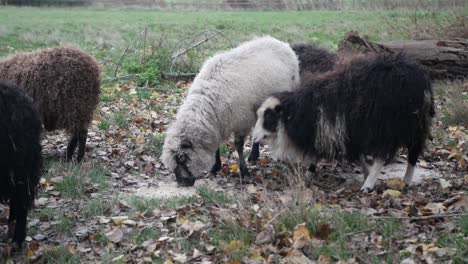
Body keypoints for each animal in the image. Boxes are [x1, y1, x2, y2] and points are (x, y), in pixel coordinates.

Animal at [161, 36, 300, 187]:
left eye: (182, 158)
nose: (182, 183)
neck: (208, 104)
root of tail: (278, 41)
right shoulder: (218, 123)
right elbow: (216, 146)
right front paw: (215, 168)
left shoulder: (241, 120)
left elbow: (238, 146)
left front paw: (244, 172)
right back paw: (254, 156)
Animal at [254, 52, 434, 192]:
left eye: (268, 116)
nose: (254, 137)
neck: (305, 110)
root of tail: (417, 81)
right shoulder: (348, 131)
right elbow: (358, 154)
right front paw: (365, 172)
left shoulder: (328, 129)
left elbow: (317, 153)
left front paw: (309, 173)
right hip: (417, 125)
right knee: (413, 153)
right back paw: (406, 181)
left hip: (386, 126)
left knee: (382, 156)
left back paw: (368, 186)